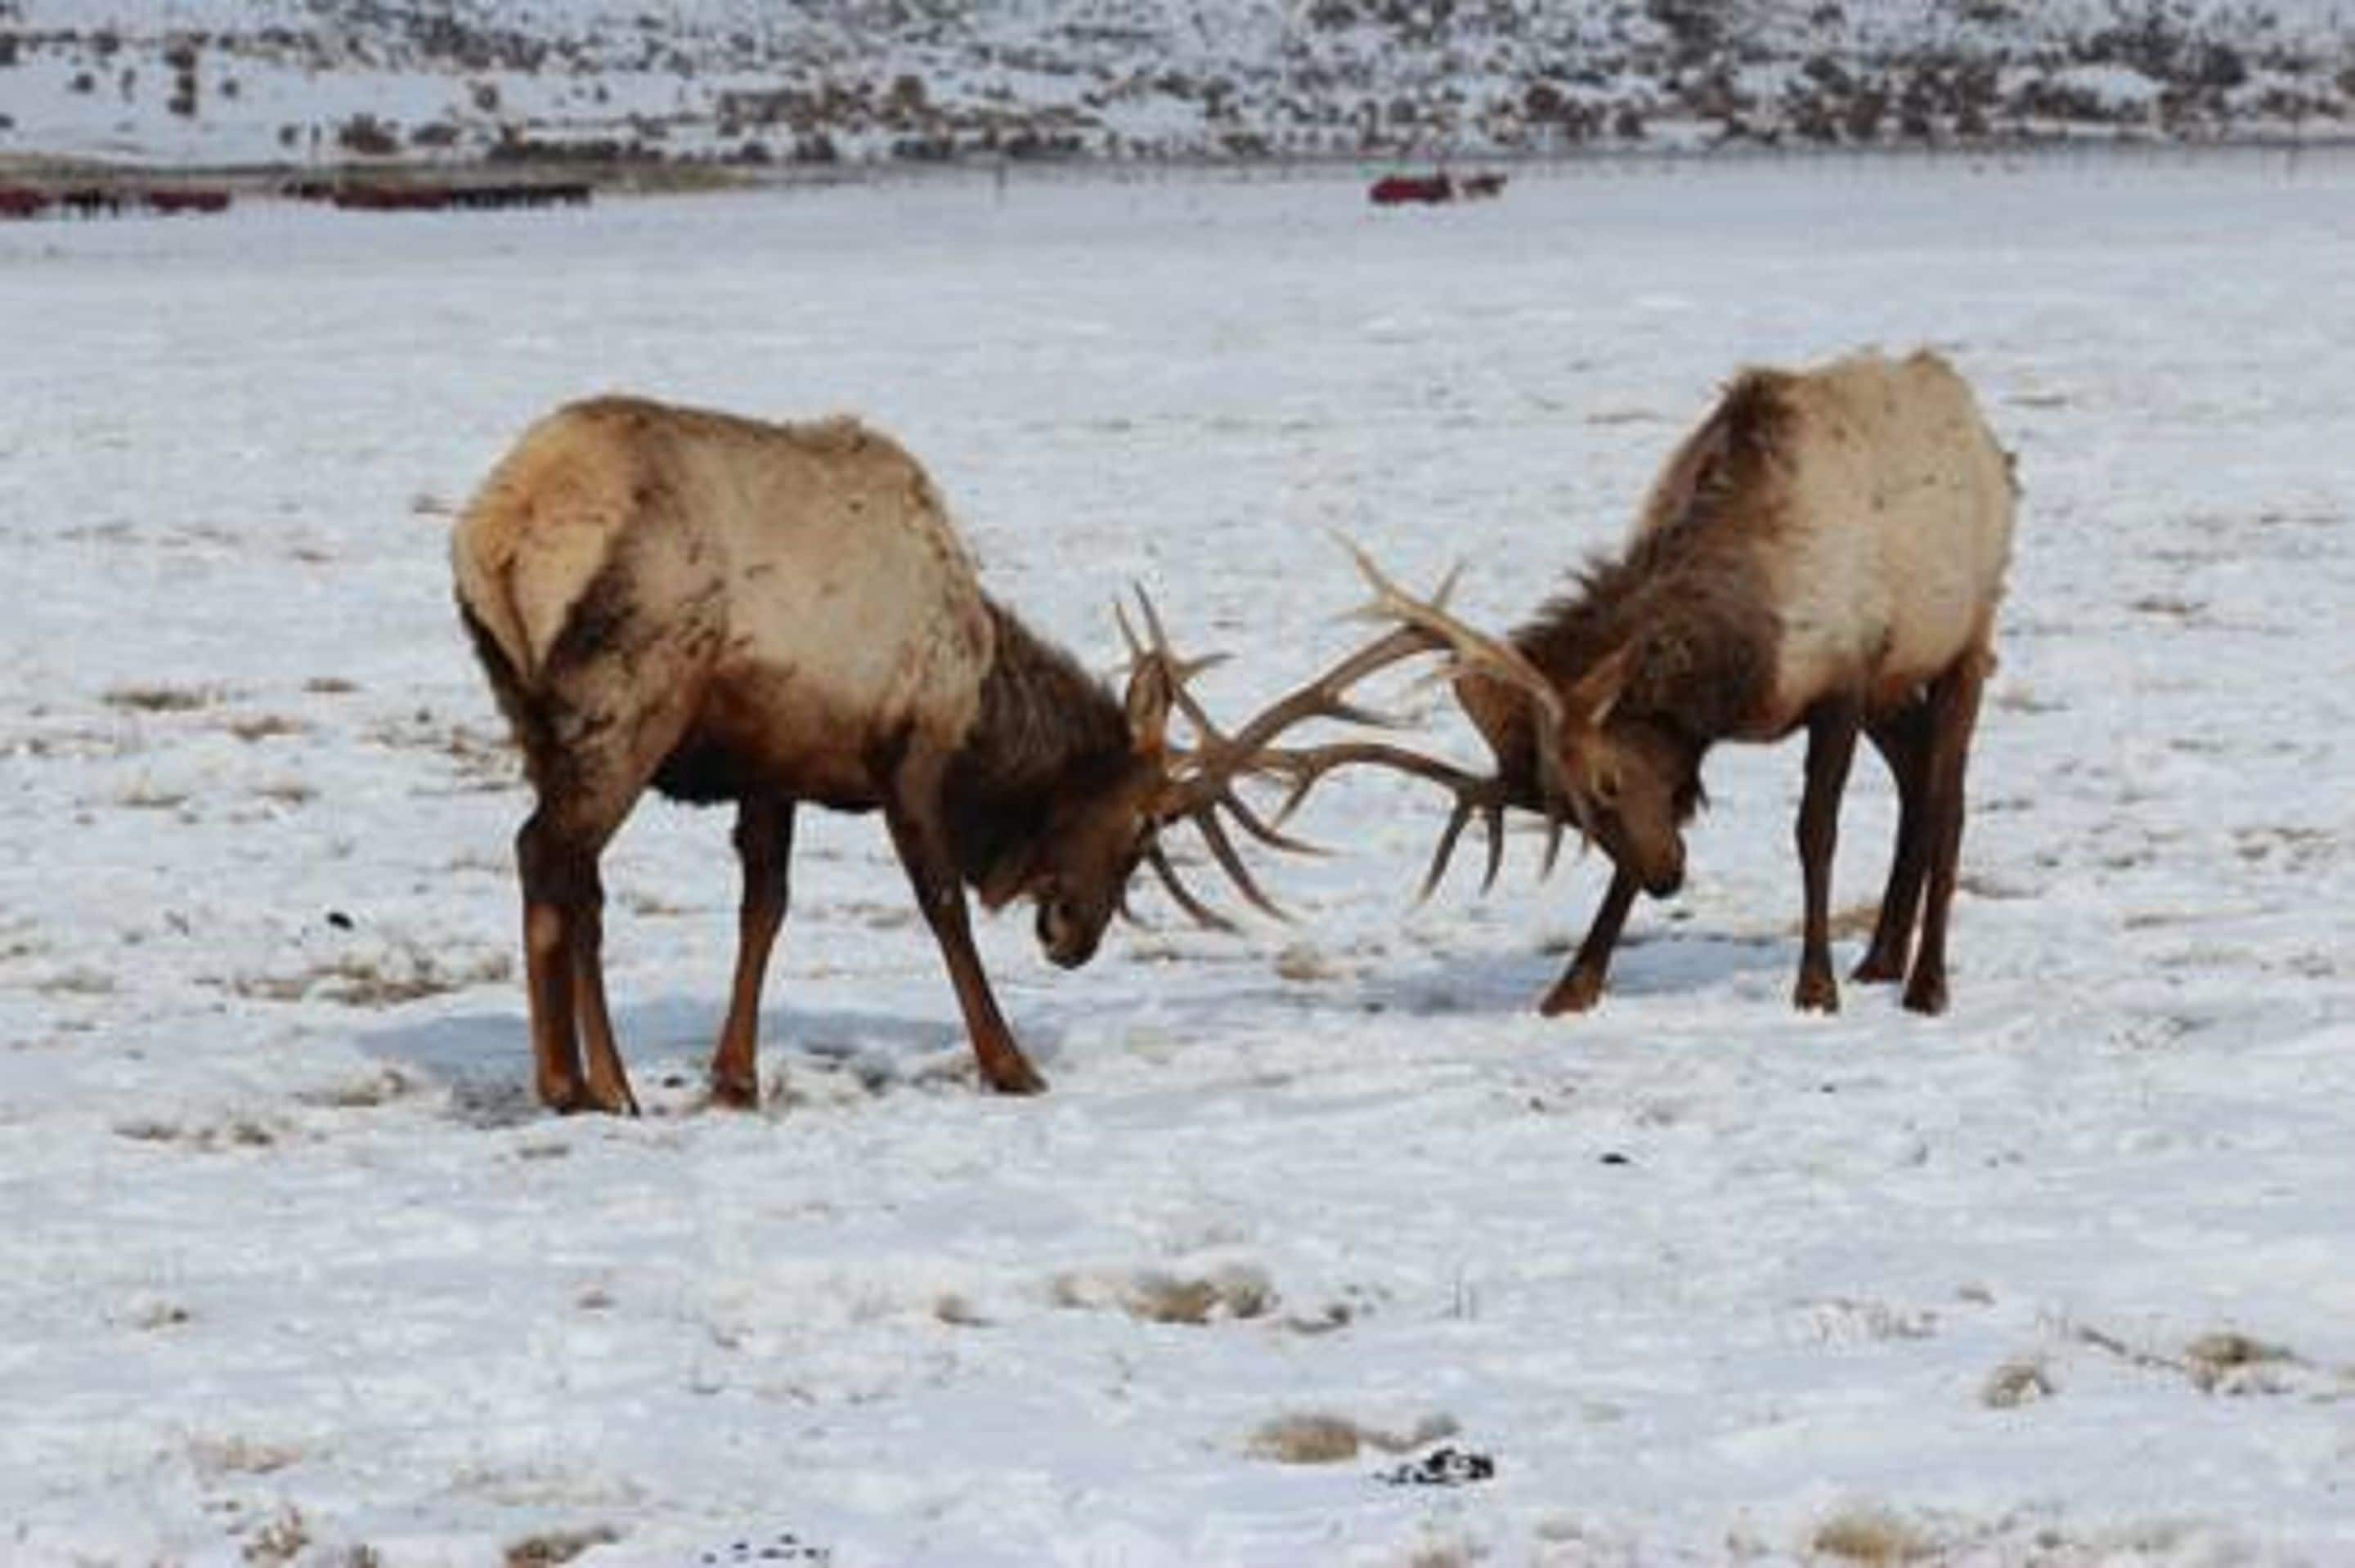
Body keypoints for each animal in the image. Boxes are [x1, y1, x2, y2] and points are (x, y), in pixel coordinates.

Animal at [451, 396, 1399, 1115]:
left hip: (534, 717)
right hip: (626, 703)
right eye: (1141, 827)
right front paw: (1012, 1064)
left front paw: (736, 1077)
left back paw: (598, 1081)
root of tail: (499, 531)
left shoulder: (775, 761)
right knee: (547, 854)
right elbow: (942, 902)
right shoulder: (912, 750)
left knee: (574, 878)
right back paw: (578, 1083)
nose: (1074, 937)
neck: (980, 695)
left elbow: (765, 907)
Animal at [1272, 349, 2017, 1018]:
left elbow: (1815, 832)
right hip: (1896, 686)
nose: (1668, 880)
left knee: (1948, 795)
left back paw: (1926, 984)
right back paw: (1882, 958)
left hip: (1964, 640)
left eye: (1605, 783)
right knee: (1917, 774)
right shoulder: (1716, 729)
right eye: (1566, 810)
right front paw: (1572, 986)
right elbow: (1650, 838)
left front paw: (1815, 989)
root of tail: (1979, 425)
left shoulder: (1842, 680)